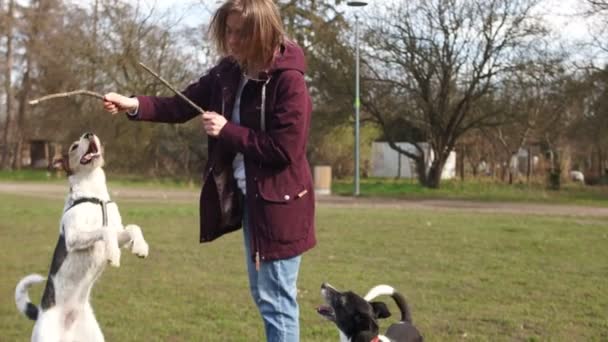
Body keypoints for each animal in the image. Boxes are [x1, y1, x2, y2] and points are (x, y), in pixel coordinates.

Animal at [14, 133, 150, 342]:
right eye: (74, 146)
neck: (94, 195)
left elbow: (133, 228)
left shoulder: (119, 233)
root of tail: (40, 313)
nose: (89, 134)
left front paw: (141, 247)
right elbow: (104, 230)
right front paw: (113, 255)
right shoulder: (74, 237)